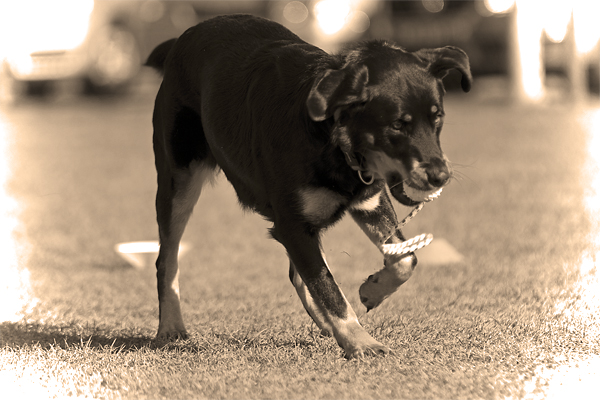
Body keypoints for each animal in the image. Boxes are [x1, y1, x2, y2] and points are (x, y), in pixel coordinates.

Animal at [144, 14, 468, 358]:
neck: (332, 139)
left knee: (299, 274)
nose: (441, 175)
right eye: (396, 124)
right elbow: (327, 286)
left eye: (437, 117)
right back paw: (171, 327)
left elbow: (405, 260)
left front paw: (371, 291)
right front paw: (361, 341)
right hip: (179, 179)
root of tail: (184, 36)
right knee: (167, 259)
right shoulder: (294, 225)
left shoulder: (369, 201)